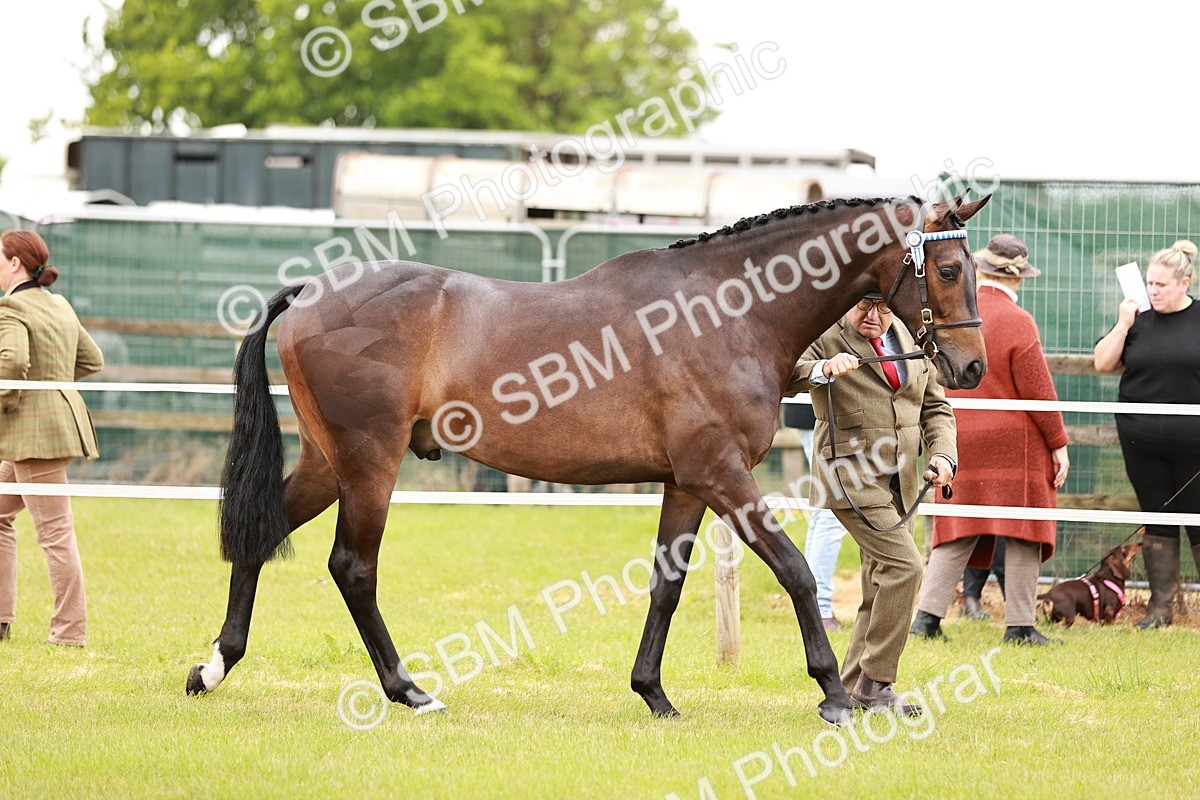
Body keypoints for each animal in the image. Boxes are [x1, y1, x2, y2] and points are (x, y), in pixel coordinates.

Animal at [186, 193, 990, 726]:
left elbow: (667, 586)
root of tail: (313, 292)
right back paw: (409, 689)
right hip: (369, 466)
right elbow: (794, 570)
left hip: (329, 463)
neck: (725, 312)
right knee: (353, 567)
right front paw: (834, 695)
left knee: (262, 534)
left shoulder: (687, 483)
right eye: (949, 269)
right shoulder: (724, 475)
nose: (973, 367)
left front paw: (654, 693)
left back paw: (214, 667)